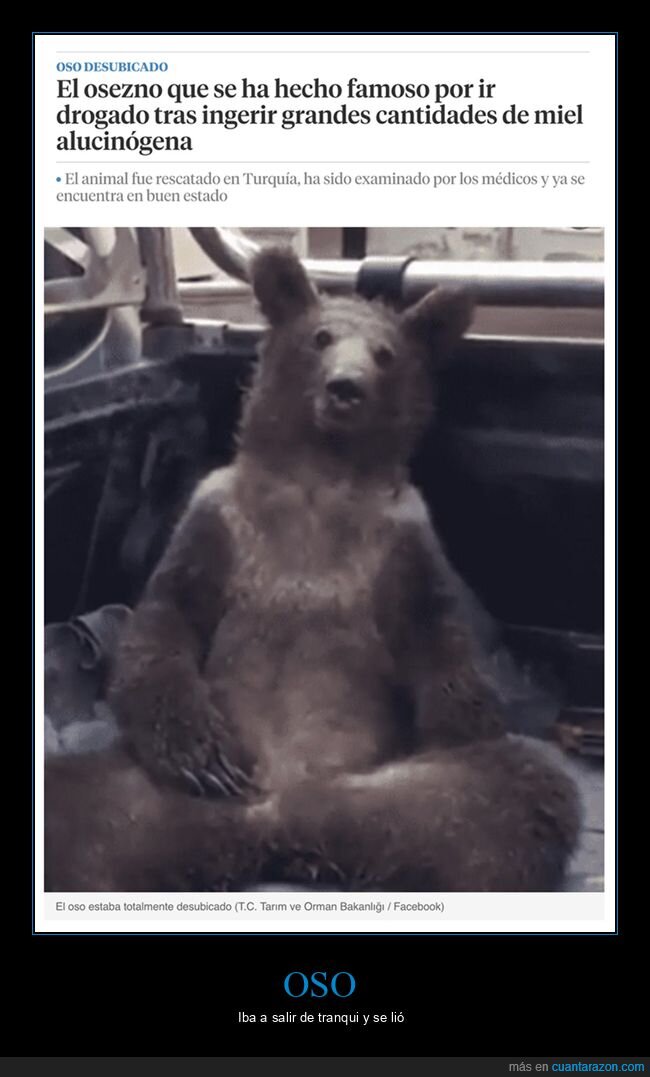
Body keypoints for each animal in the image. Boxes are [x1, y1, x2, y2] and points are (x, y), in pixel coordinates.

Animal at [44, 246, 581, 892]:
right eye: (320, 337)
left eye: (385, 352)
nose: (345, 387)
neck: (319, 479)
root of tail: (275, 826)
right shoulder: (218, 520)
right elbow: (167, 623)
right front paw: (203, 757)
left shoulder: (400, 540)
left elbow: (437, 637)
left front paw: (458, 722)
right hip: (135, 797)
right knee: (70, 810)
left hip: (403, 794)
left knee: (512, 796)